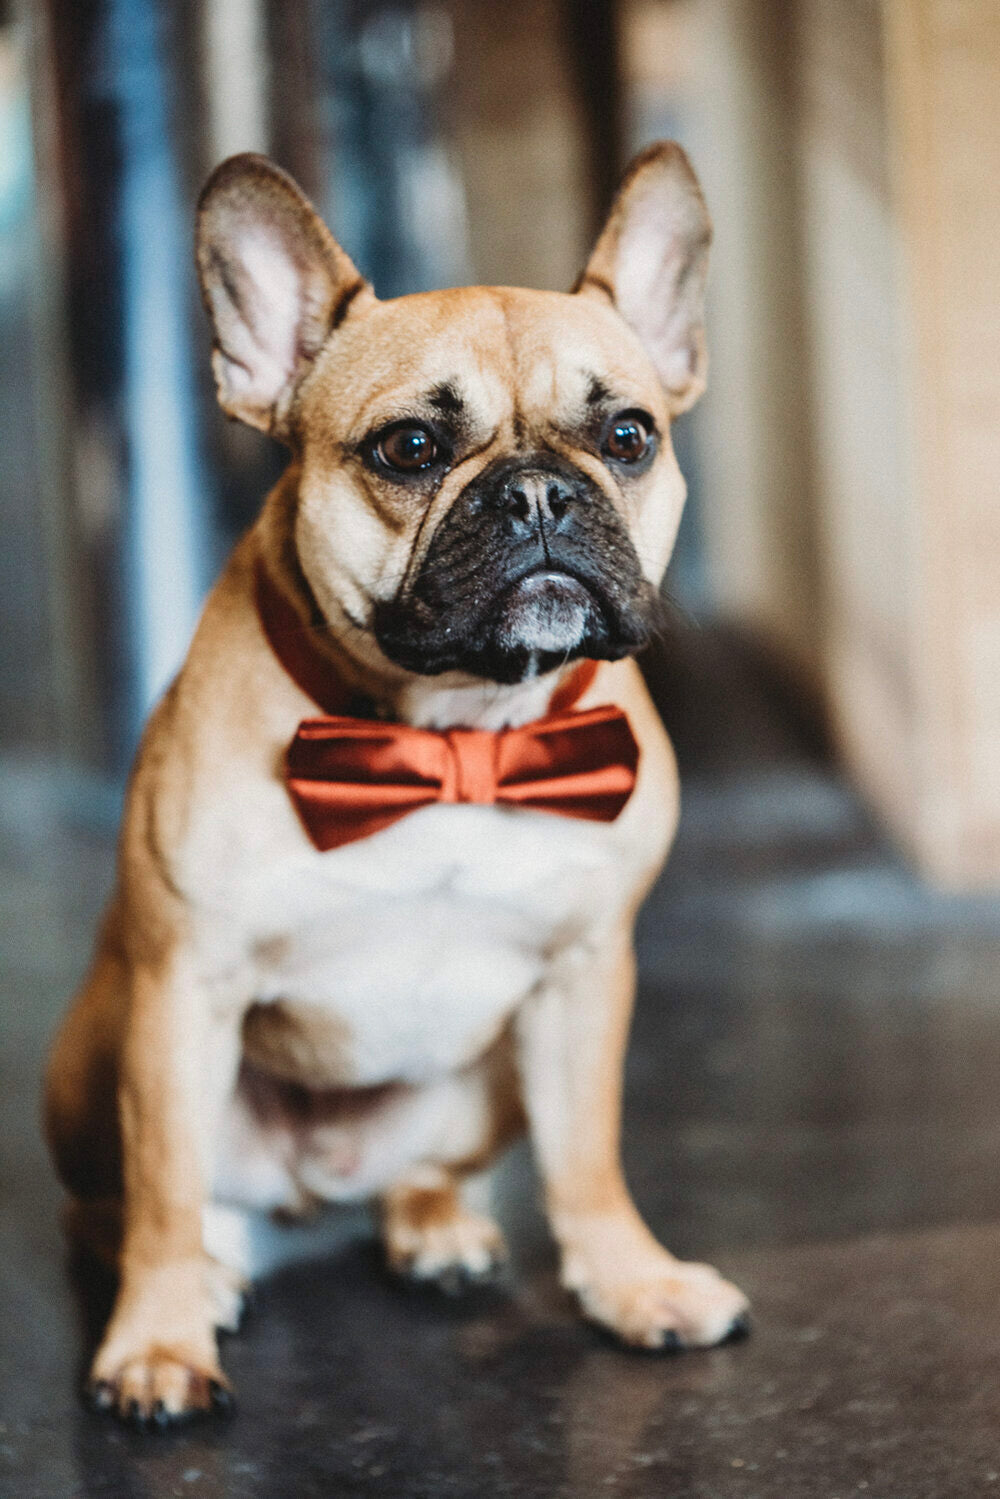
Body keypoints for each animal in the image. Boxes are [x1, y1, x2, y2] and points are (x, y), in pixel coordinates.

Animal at [44, 143, 749, 1427]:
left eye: (628, 435)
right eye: (410, 450)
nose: (538, 492)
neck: (458, 735)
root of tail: (309, 1192)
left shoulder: (586, 971)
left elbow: (589, 1151)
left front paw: (632, 1281)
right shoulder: (184, 984)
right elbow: (164, 1185)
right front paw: (157, 1341)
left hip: (486, 1081)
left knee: (428, 1171)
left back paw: (434, 1227)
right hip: (100, 1047)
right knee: (129, 1206)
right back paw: (204, 1275)